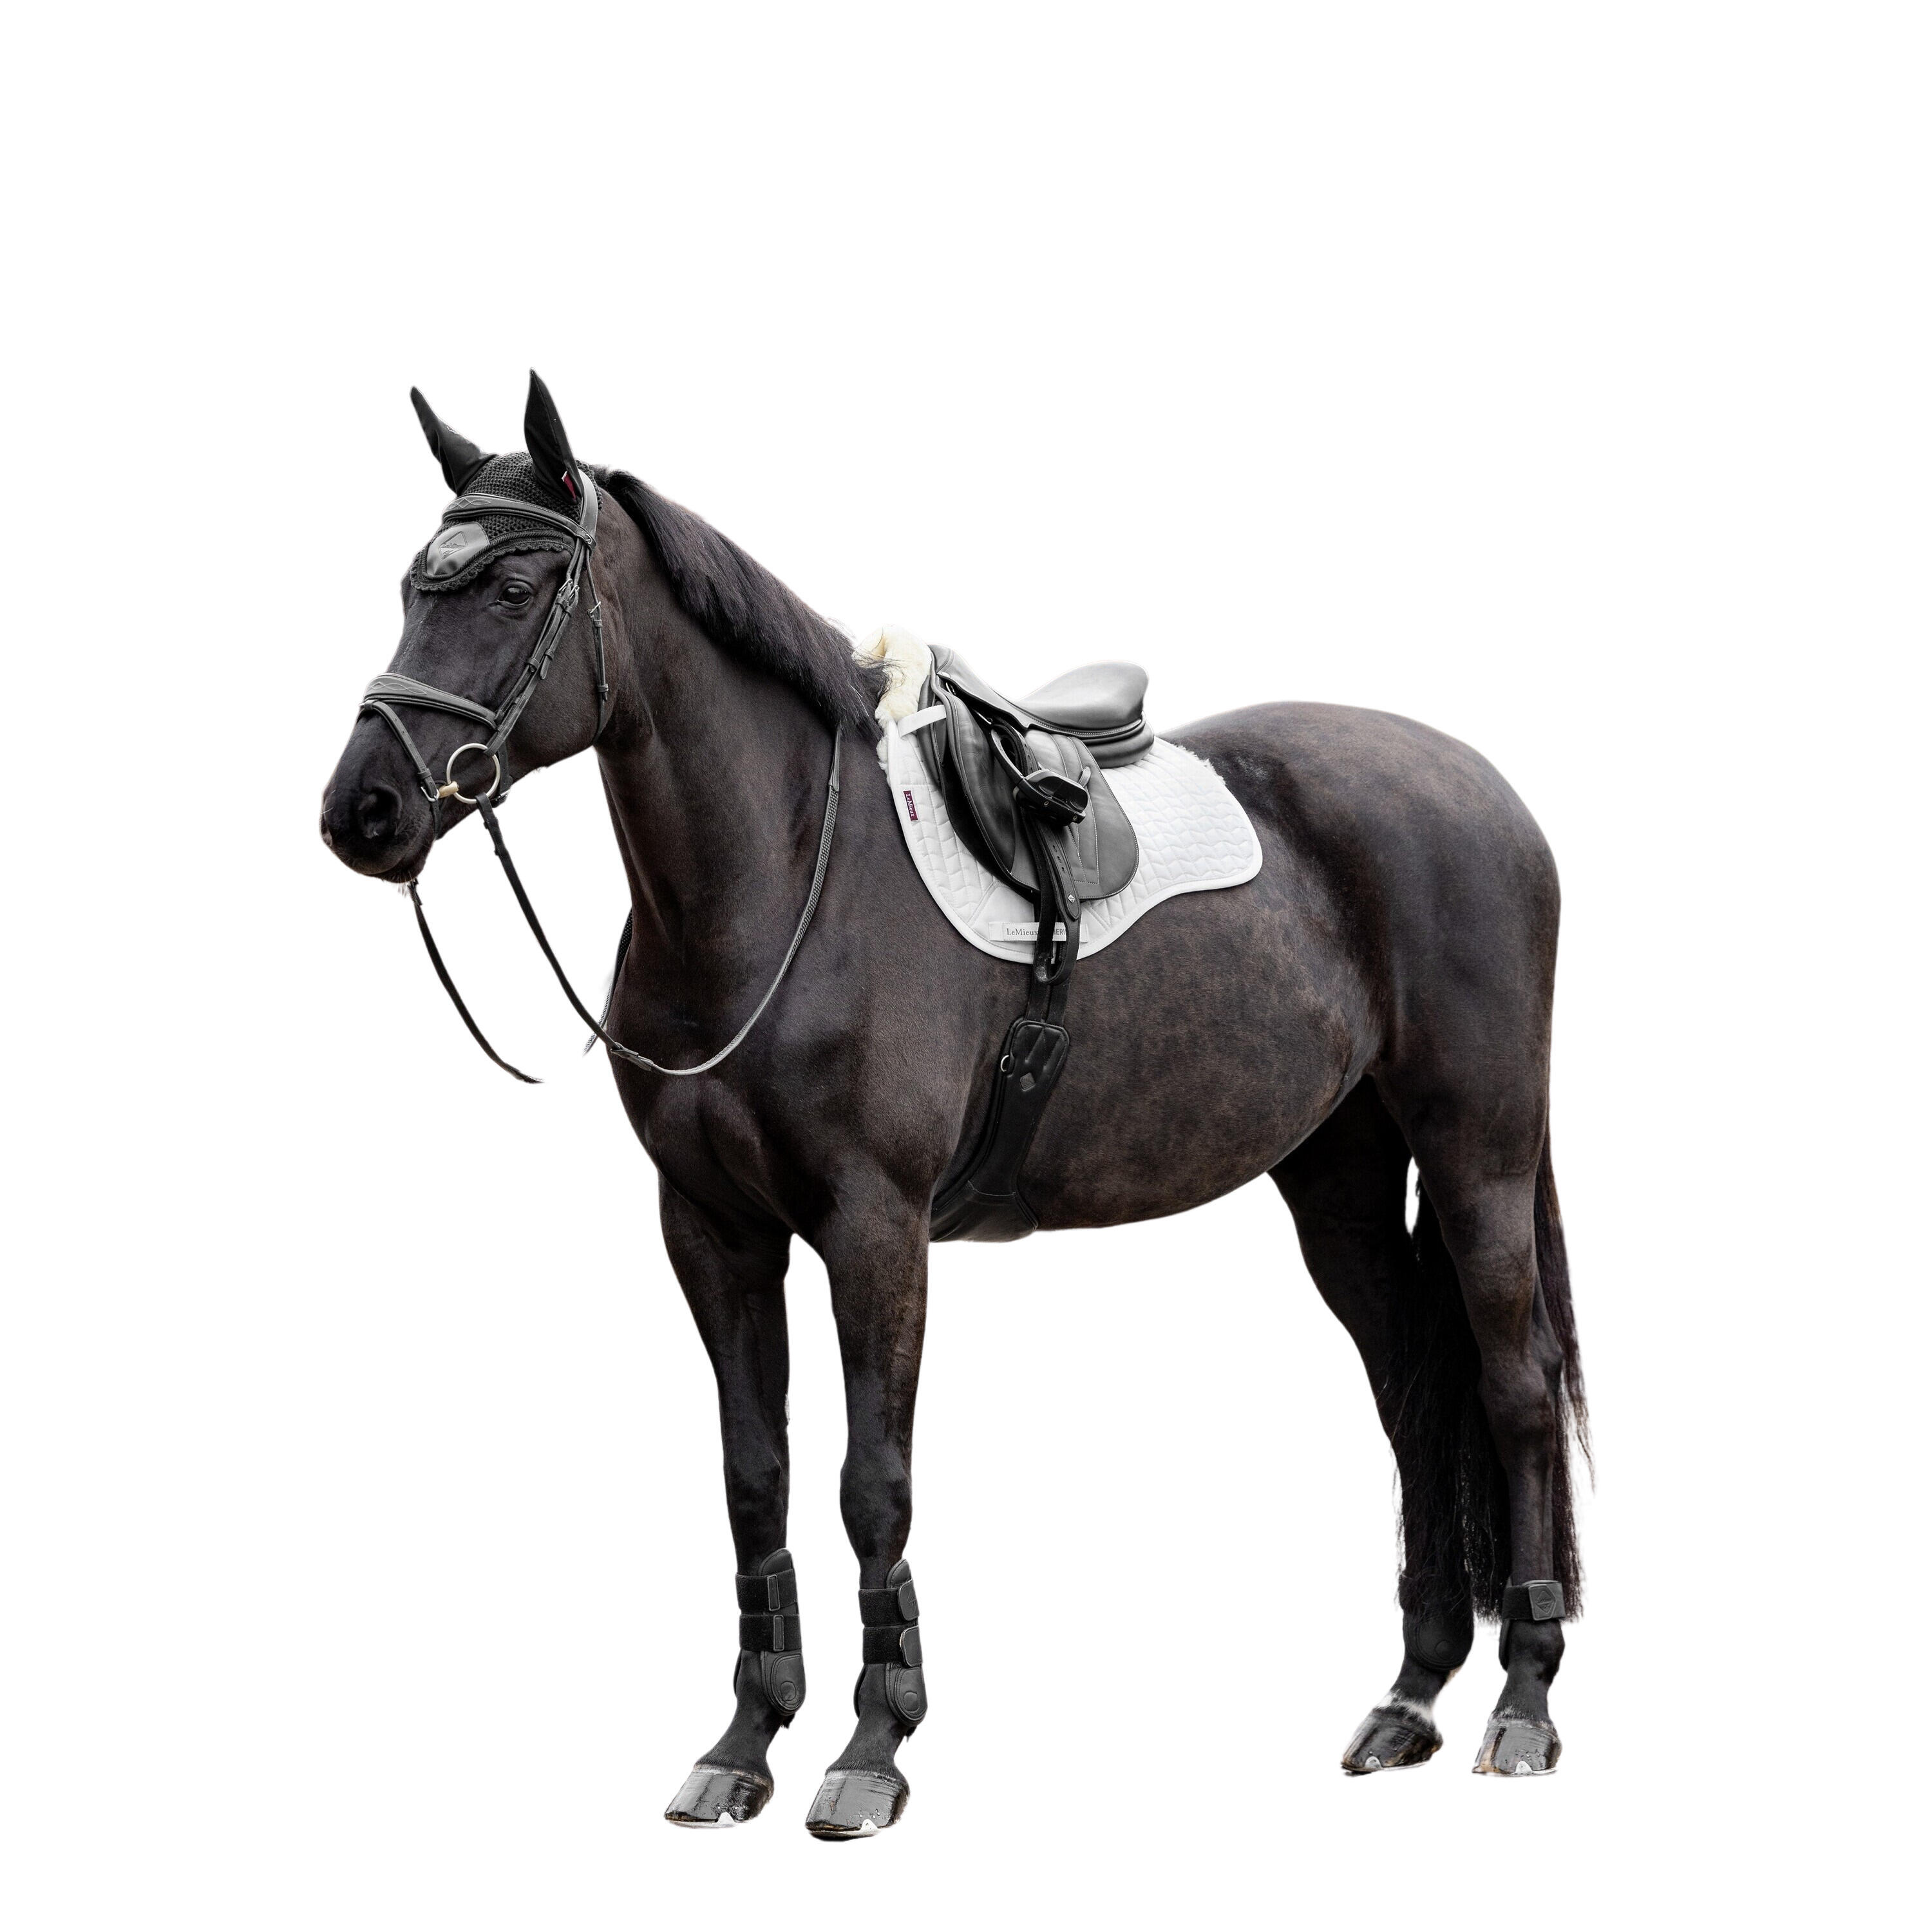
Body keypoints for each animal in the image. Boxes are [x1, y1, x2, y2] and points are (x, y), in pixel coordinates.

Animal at [320, 373, 1587, 1837]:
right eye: (411, 585)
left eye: (517, 589)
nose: (363, 809)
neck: (787, 885)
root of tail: (1481, 791)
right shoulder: (712, 1232)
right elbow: (755, 1477)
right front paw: (745, 1741)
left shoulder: (875, 1232)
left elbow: (874, 1483)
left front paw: (872, 1748)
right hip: (1341, 1183)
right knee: (1412, 1389)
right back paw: (1411, 1697)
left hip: (1480, 1153)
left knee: (1513, 1386)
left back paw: (1522, 1702)